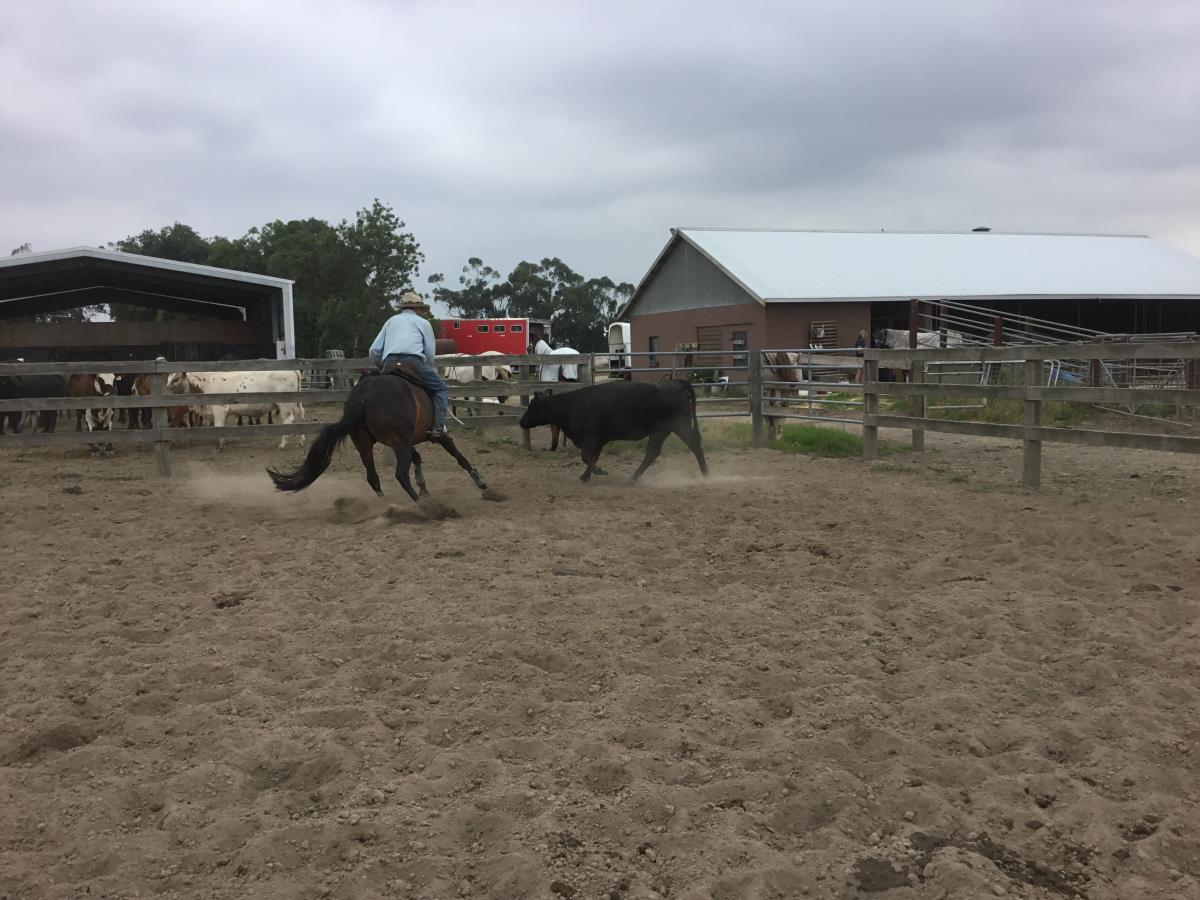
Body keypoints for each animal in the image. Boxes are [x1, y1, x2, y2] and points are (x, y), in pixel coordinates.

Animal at [266, 366, 490, 503]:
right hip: (399, 445)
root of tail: (364, 398)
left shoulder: (405, 442)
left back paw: (387, 504)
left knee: (373, 477)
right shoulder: (435, 436)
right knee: (400, 474)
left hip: (365, 445)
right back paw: (421, 505)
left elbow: (418, 458)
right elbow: (458, 456)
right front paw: (481, 482)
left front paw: (424, 487)